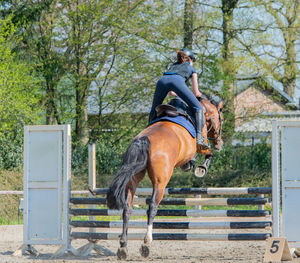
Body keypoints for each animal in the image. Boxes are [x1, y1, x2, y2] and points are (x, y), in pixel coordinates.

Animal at [106, 96, 223, 260]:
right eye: (221, 118)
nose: (219, 143)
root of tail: (143, 140)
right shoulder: (202, 145)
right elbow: (208, 153)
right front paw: (201, 168)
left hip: (133, 179)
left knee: (127, 209)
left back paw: (123, 246)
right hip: (161, 181)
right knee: (152, 207)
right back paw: (146, 244)